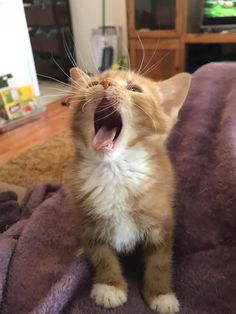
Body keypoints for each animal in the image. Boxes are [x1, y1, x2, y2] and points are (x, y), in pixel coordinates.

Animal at [68, 67, 192, 312]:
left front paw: (160, 294)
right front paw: (110, 286)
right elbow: (102, 256)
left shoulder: (161, 222)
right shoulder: (90, 224)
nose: (105, 83)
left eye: (134, 89)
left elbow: (160, 261)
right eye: (92, 84)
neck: (115, 170)